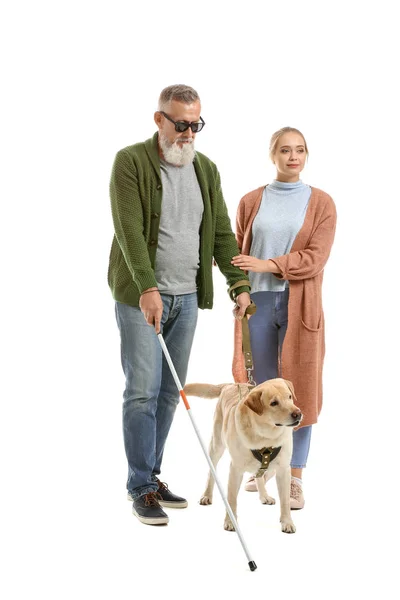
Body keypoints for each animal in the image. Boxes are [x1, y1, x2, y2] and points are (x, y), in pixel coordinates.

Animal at [183, 378, 302, 532]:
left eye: (290, 397)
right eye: (274, 403)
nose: (298, 413)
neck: (266, 437)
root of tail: (230, 385)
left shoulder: (283, 469)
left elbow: (285, 501)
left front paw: (287, 522)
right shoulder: (236, 469)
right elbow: (232, 499)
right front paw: (230, 521)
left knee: (259, 476)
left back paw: (264, 496)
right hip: (216, 445)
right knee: (211, 472)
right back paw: (207, 495)